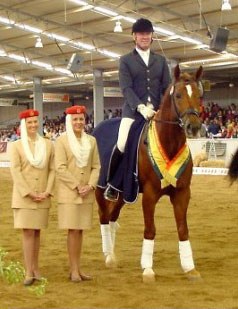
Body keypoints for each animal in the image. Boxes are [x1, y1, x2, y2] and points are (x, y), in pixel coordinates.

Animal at [94, 65, 202, 282]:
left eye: (198, 95)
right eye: (178, 95)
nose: (193, 127)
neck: (169, 143)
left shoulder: (182, 193)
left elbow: (183, 229)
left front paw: (189, 268)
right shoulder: (150, 195)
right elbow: (150, 230)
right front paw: (148, 269)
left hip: (123, 192)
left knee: (112, 216)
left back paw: (112, 254)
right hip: (99, 188)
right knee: (103, 216)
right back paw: (108, 255)